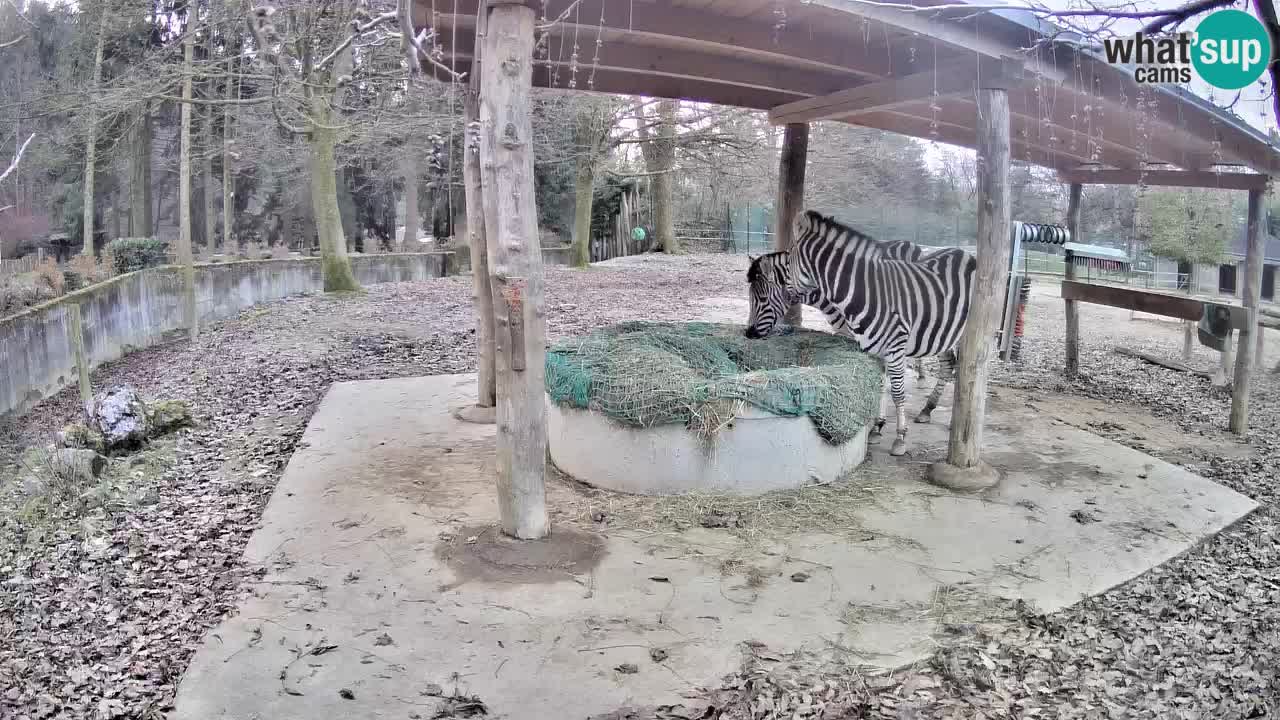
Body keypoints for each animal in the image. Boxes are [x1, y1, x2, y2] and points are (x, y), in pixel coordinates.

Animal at [747, 207, 972, 453]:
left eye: (761, 298)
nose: (749, 333)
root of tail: (966, 254)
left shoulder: (890, 344)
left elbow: (896, 390)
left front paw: (900, 437)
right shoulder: (874, 346)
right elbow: (880, 384)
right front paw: (877, 427)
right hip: (943, 332)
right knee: (948, 364)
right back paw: (928, 409)